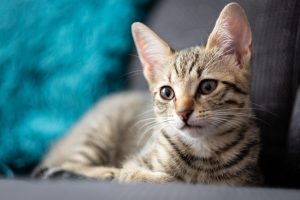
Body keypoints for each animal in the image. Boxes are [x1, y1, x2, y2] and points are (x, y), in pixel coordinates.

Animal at [33, 2, 262, 185]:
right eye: (167, 92)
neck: (202, 153)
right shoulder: (136, 162)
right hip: (98, 133)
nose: (183, 113)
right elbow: (135, 174)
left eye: (207, 87)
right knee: (69, 164)